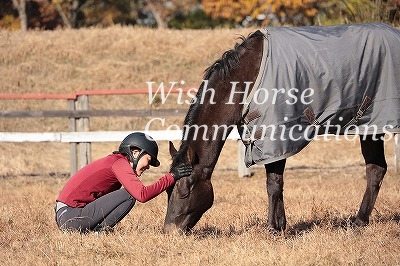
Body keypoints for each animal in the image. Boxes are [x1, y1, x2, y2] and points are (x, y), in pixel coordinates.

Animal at [163, 23, 400, 235]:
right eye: (167, 190)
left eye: (184, 190)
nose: (169, 230)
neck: (247, 80)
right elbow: (277, 183)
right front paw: (280, 226)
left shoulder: (275, 135)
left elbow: (273, 183)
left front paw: (273, 229)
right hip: (370, 127)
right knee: (376, 169)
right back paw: (360, 221)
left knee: (375, 170)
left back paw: (359, 221)